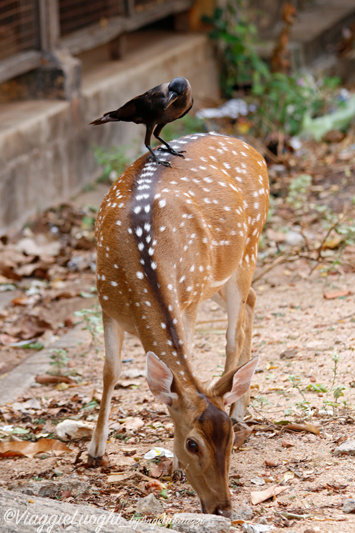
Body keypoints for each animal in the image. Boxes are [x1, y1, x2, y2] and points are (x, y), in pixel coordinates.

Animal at [89, 132, 270, 516]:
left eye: (229, 440)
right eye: (192, 444)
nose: (222, 508)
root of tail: (252, 149)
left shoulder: (187, 302)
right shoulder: (106, 303)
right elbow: (110, 371)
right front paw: (95, 450)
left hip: (246, 249)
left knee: (234, 334)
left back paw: (239, 408)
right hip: (220, 276)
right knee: (251, 301)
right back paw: (241, 405)